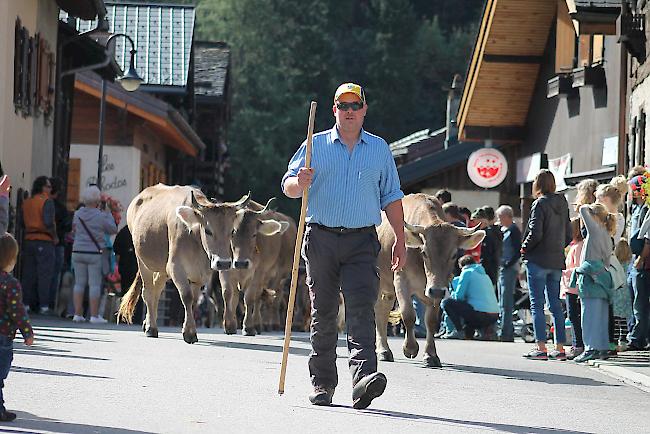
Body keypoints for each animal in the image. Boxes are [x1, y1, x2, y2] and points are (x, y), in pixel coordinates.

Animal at [372, 193, 484, 366]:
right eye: (424, 252)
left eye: (454, 254)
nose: (435, 290)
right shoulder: (400, 280)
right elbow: (408, 314)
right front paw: (410, 348)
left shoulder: (437, 289)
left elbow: (431, 321)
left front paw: (431, 355)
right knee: (379, 311)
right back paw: (383, 350)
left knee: (383, 310)